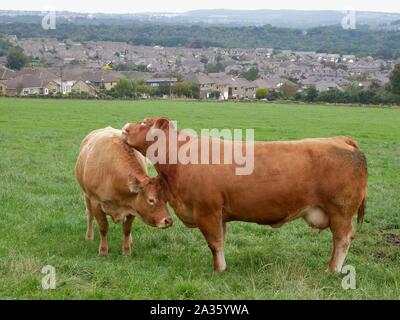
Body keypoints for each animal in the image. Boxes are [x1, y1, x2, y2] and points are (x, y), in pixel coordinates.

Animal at [76, 126, 173, 256]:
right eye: (151, 200)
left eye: (166, 199)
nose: (168, 221)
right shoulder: (96, 202)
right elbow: (103, 227)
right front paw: (103, 250)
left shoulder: (132, 205)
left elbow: (127, 229)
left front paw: (126, 251)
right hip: (86, 196)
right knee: (90, 215)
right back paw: (89, 236)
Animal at [122, 117, 368, 272]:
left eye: (145, 123)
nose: (124, 128)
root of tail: (340, 139)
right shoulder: (219, 214)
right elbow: (221, 240)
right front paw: (221, 267)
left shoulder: (206, 211)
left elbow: (214, 243)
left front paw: (219, 270)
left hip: (341, 212)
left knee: (343, 239)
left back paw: (332, 270)